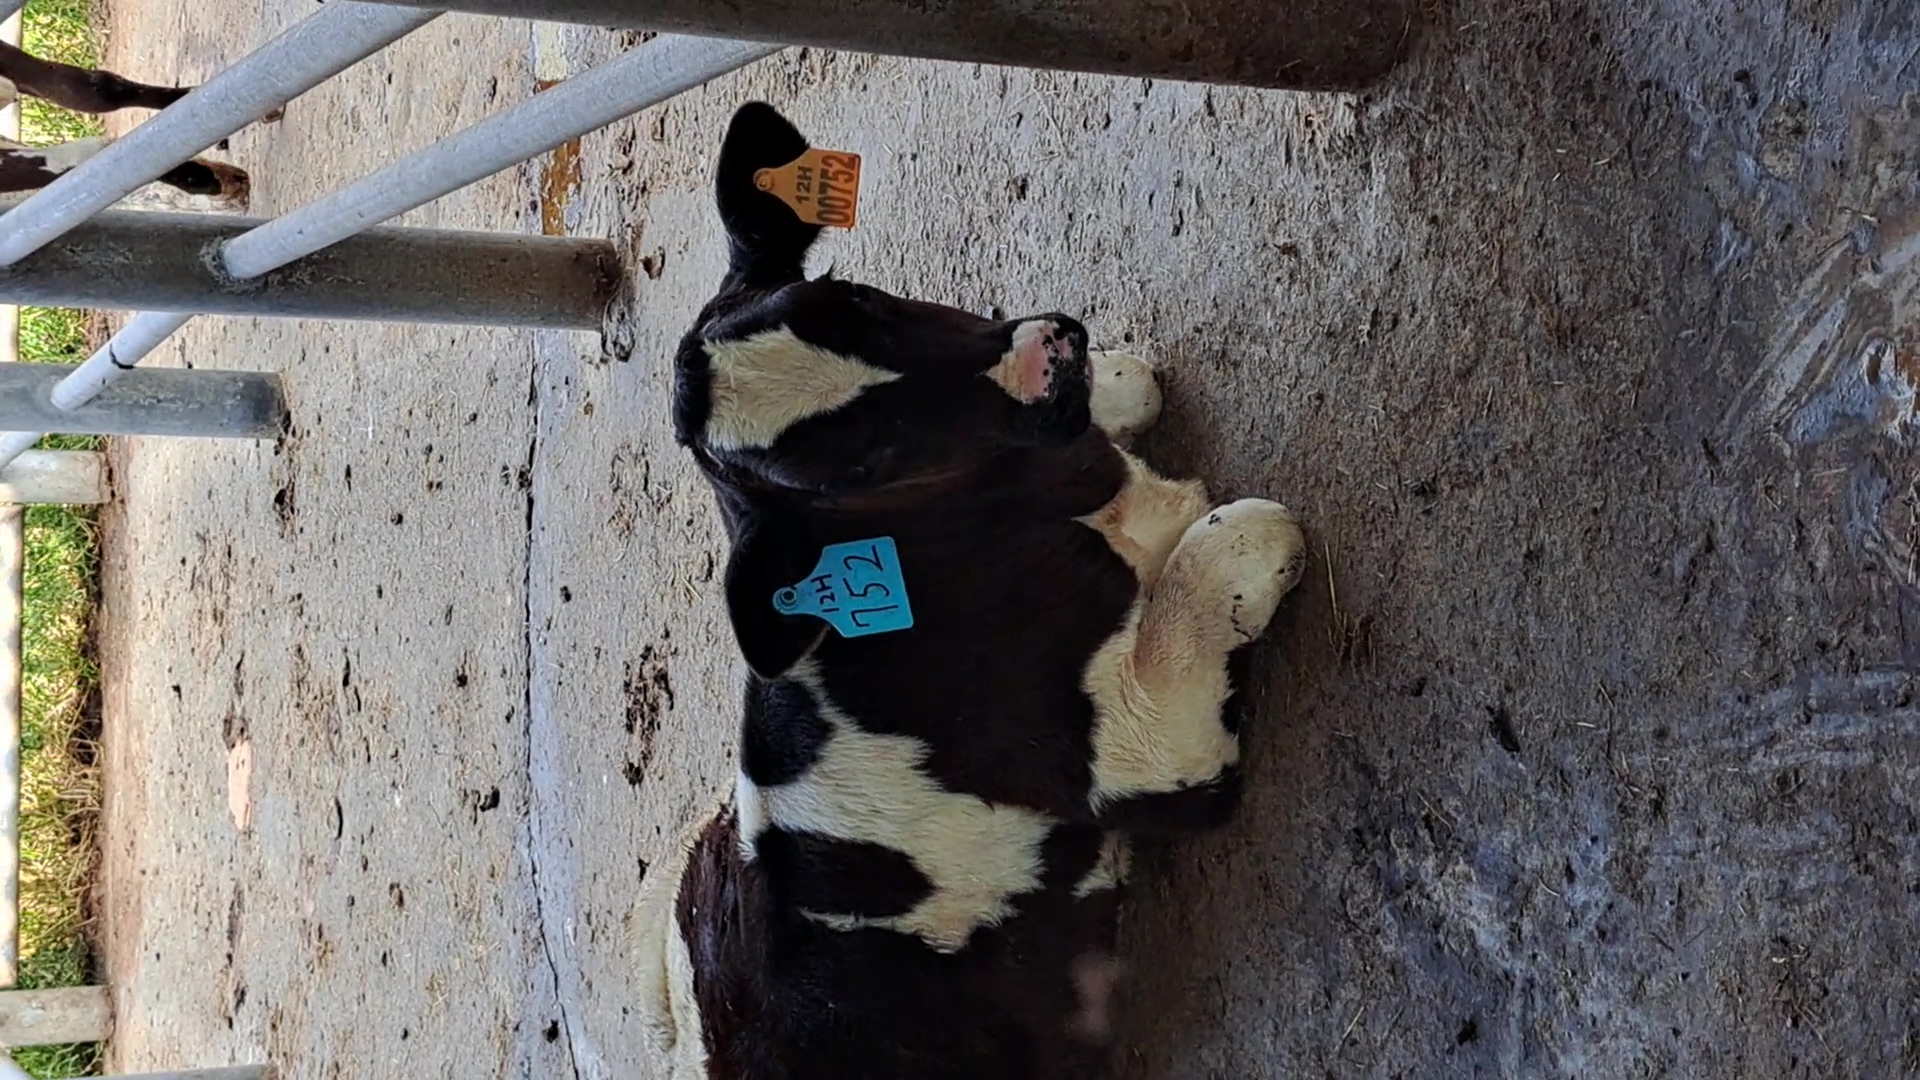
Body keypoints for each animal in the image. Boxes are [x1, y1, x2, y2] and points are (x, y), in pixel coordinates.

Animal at [633, 100, 1309, 1079]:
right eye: (863, 462)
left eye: (856, 299)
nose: (1049, 357)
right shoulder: (1148, 753)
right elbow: (1211, 562)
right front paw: (1253, 541)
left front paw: (1119, 379)